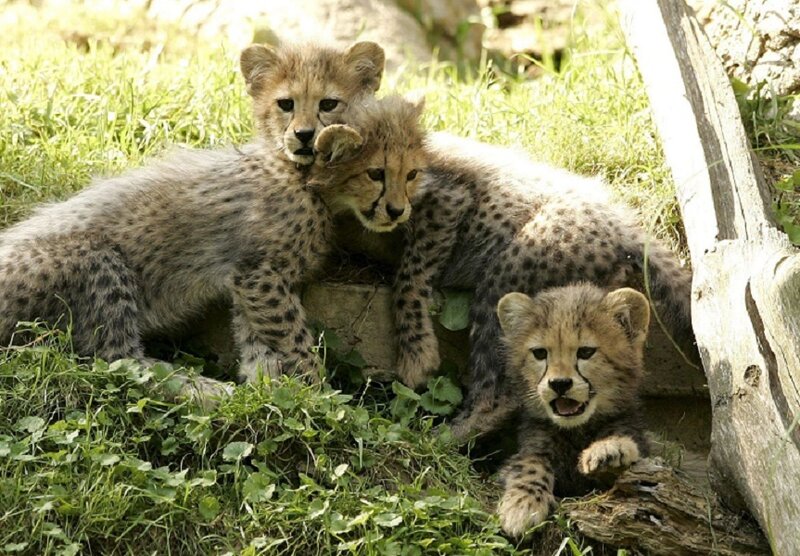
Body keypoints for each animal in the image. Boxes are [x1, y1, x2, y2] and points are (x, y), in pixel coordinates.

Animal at [0, 42, 425, 404]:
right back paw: (203, 387)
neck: (302, 176)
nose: (397, 210)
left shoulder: (252, 280)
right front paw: (321, 399)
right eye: (286, 104)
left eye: (329, 103)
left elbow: (259, 340)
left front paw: (270, 393)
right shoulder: (260, 274)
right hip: (98, 259)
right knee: (118, 360)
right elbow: (294, 338)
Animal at [494, 283, 651, 536]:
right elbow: (530, 464)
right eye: (540, 353)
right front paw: (522, 505)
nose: (559, 384)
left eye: (586, 352)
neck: (576, 431)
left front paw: (609, 449)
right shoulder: (527, 451)